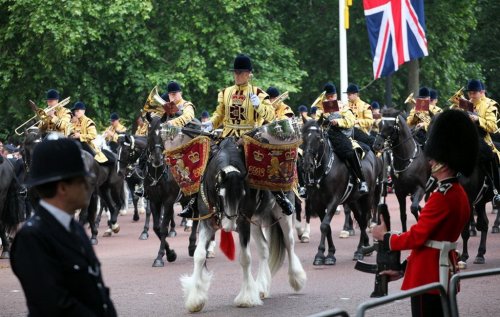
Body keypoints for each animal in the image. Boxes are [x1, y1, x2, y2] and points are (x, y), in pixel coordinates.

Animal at [300, 119, 382, 262]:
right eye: (303, 138)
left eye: (319, 138)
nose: (307, 165)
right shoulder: (318, 203)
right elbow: (326, 226)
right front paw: (329, 253)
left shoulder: (334, 200)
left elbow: (324, 225)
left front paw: (321, 254)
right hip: (353, 200)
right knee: (360, 219)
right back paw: (366, 246)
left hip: (367, 197)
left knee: (364, 220)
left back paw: (360, 251)